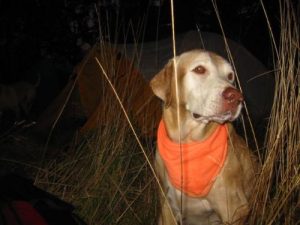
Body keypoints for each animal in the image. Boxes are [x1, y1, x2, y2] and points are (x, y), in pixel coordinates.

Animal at [151, 49, 258, 225]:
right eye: (200, 69)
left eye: (230, 76)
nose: (236, 96)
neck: (187, 143)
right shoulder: (167, 208)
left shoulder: (235, 210)